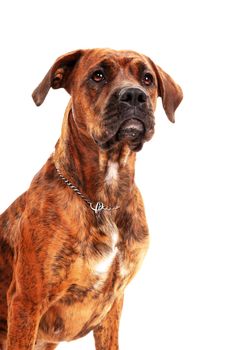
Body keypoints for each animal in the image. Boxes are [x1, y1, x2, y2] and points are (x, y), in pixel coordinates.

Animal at [0, 49, 182, 350]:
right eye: (98, 75)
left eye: (147, 78)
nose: (134, 95)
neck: (104, 199)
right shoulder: (27, 301)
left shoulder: (112, 305)